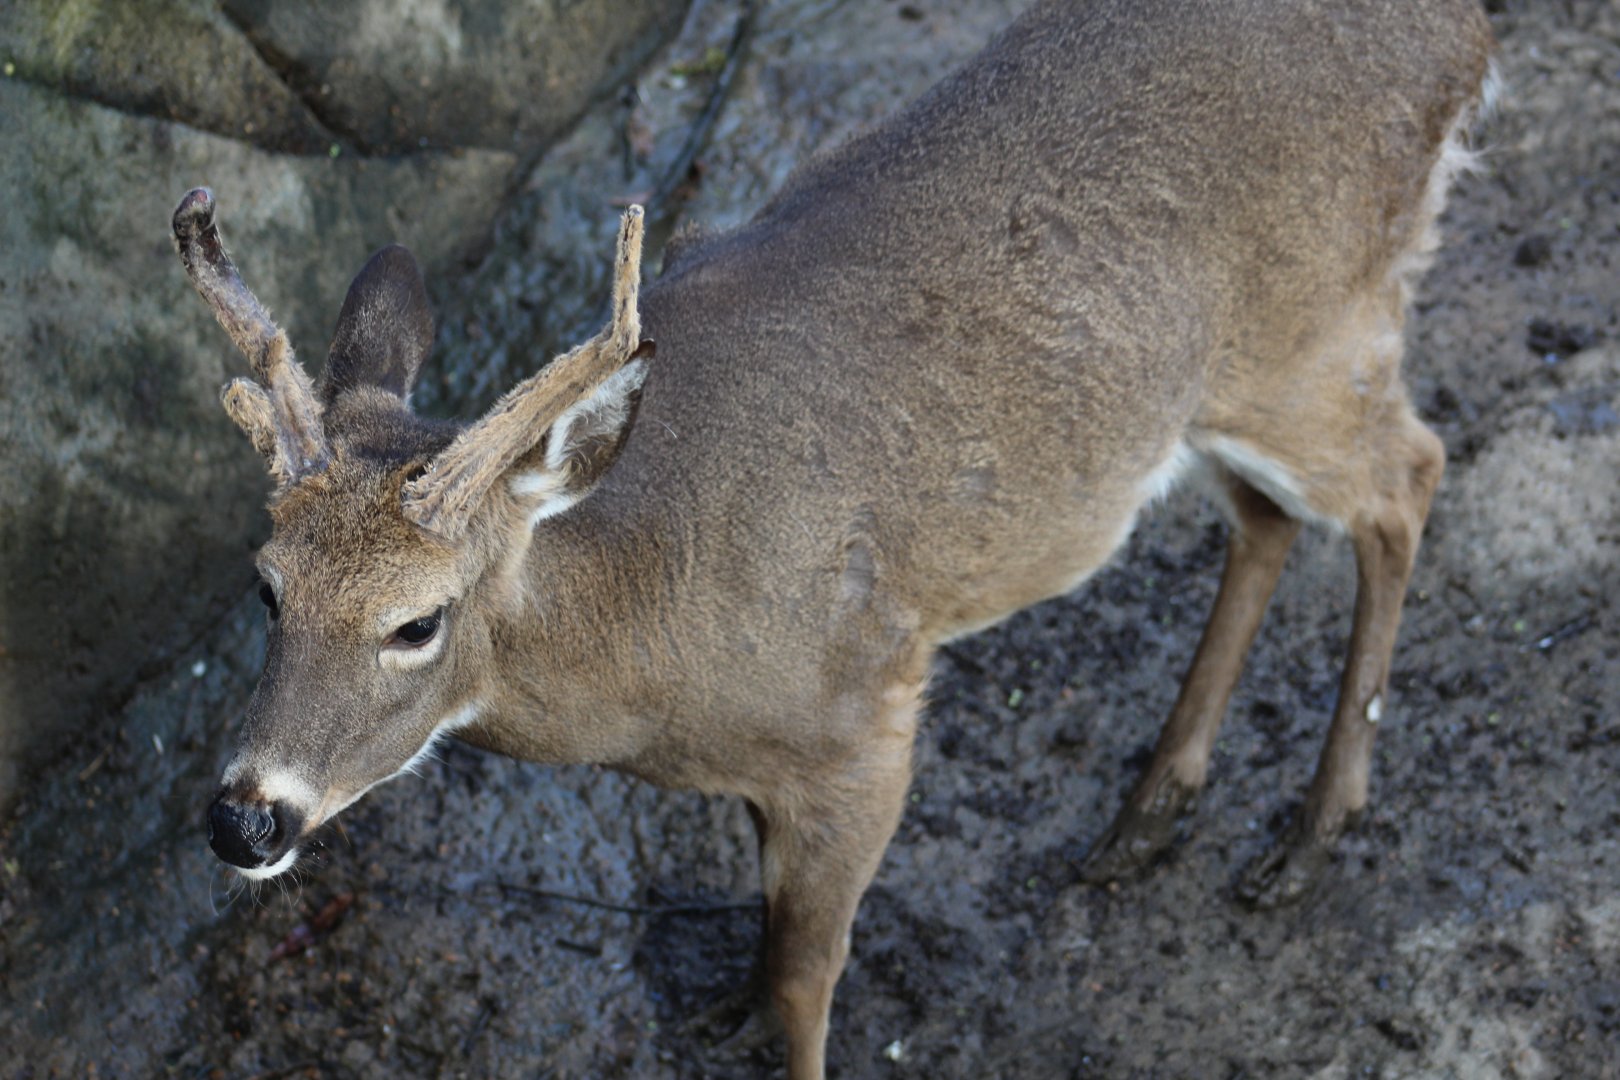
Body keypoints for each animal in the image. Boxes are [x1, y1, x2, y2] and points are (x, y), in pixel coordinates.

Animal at [180, 0, 1495, 1075]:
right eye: (265, 588)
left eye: (418, 620)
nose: (245, 818)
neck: (654, 644)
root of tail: (1466, 39)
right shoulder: (774, 774)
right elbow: (769, 949)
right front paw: (722, 1012)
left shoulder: (869, 721)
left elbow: (810, 981)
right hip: (1206, 401)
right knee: (1271, 516)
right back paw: (1146, 815)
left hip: (1315, 334)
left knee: (1410, 475)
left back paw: (1312, 832)